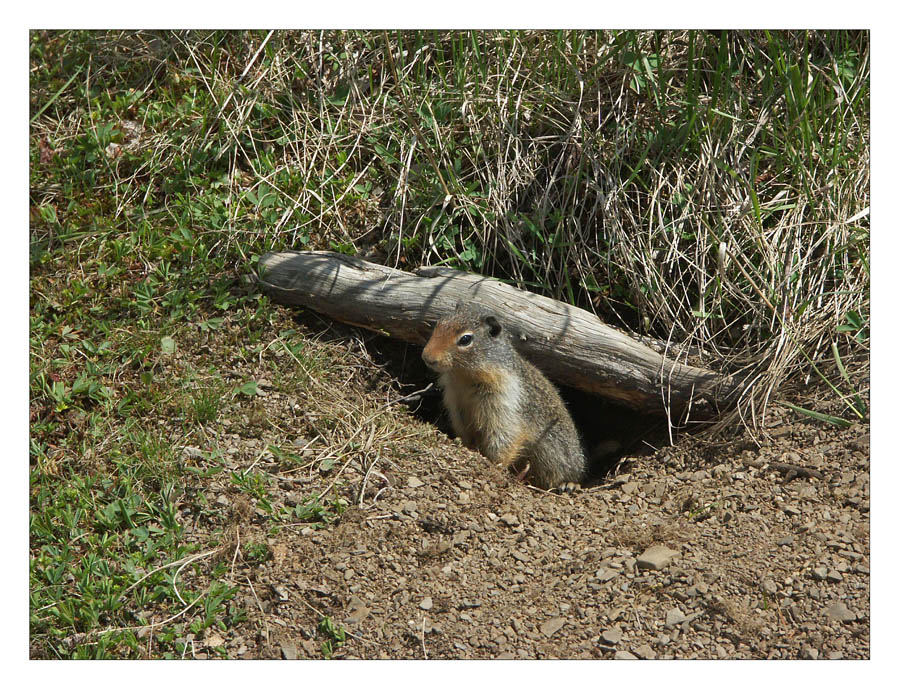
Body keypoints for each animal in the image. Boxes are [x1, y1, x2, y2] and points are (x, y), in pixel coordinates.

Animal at [424, 306, 592, 490]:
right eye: (438, 324)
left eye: (465, 339)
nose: (427, 357)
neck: (464, 378)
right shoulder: (456, 406)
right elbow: (465, 431)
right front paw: (463, 444)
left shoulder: (504, 405)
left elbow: (503, 439)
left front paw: (493, 463)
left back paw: (569, 485)